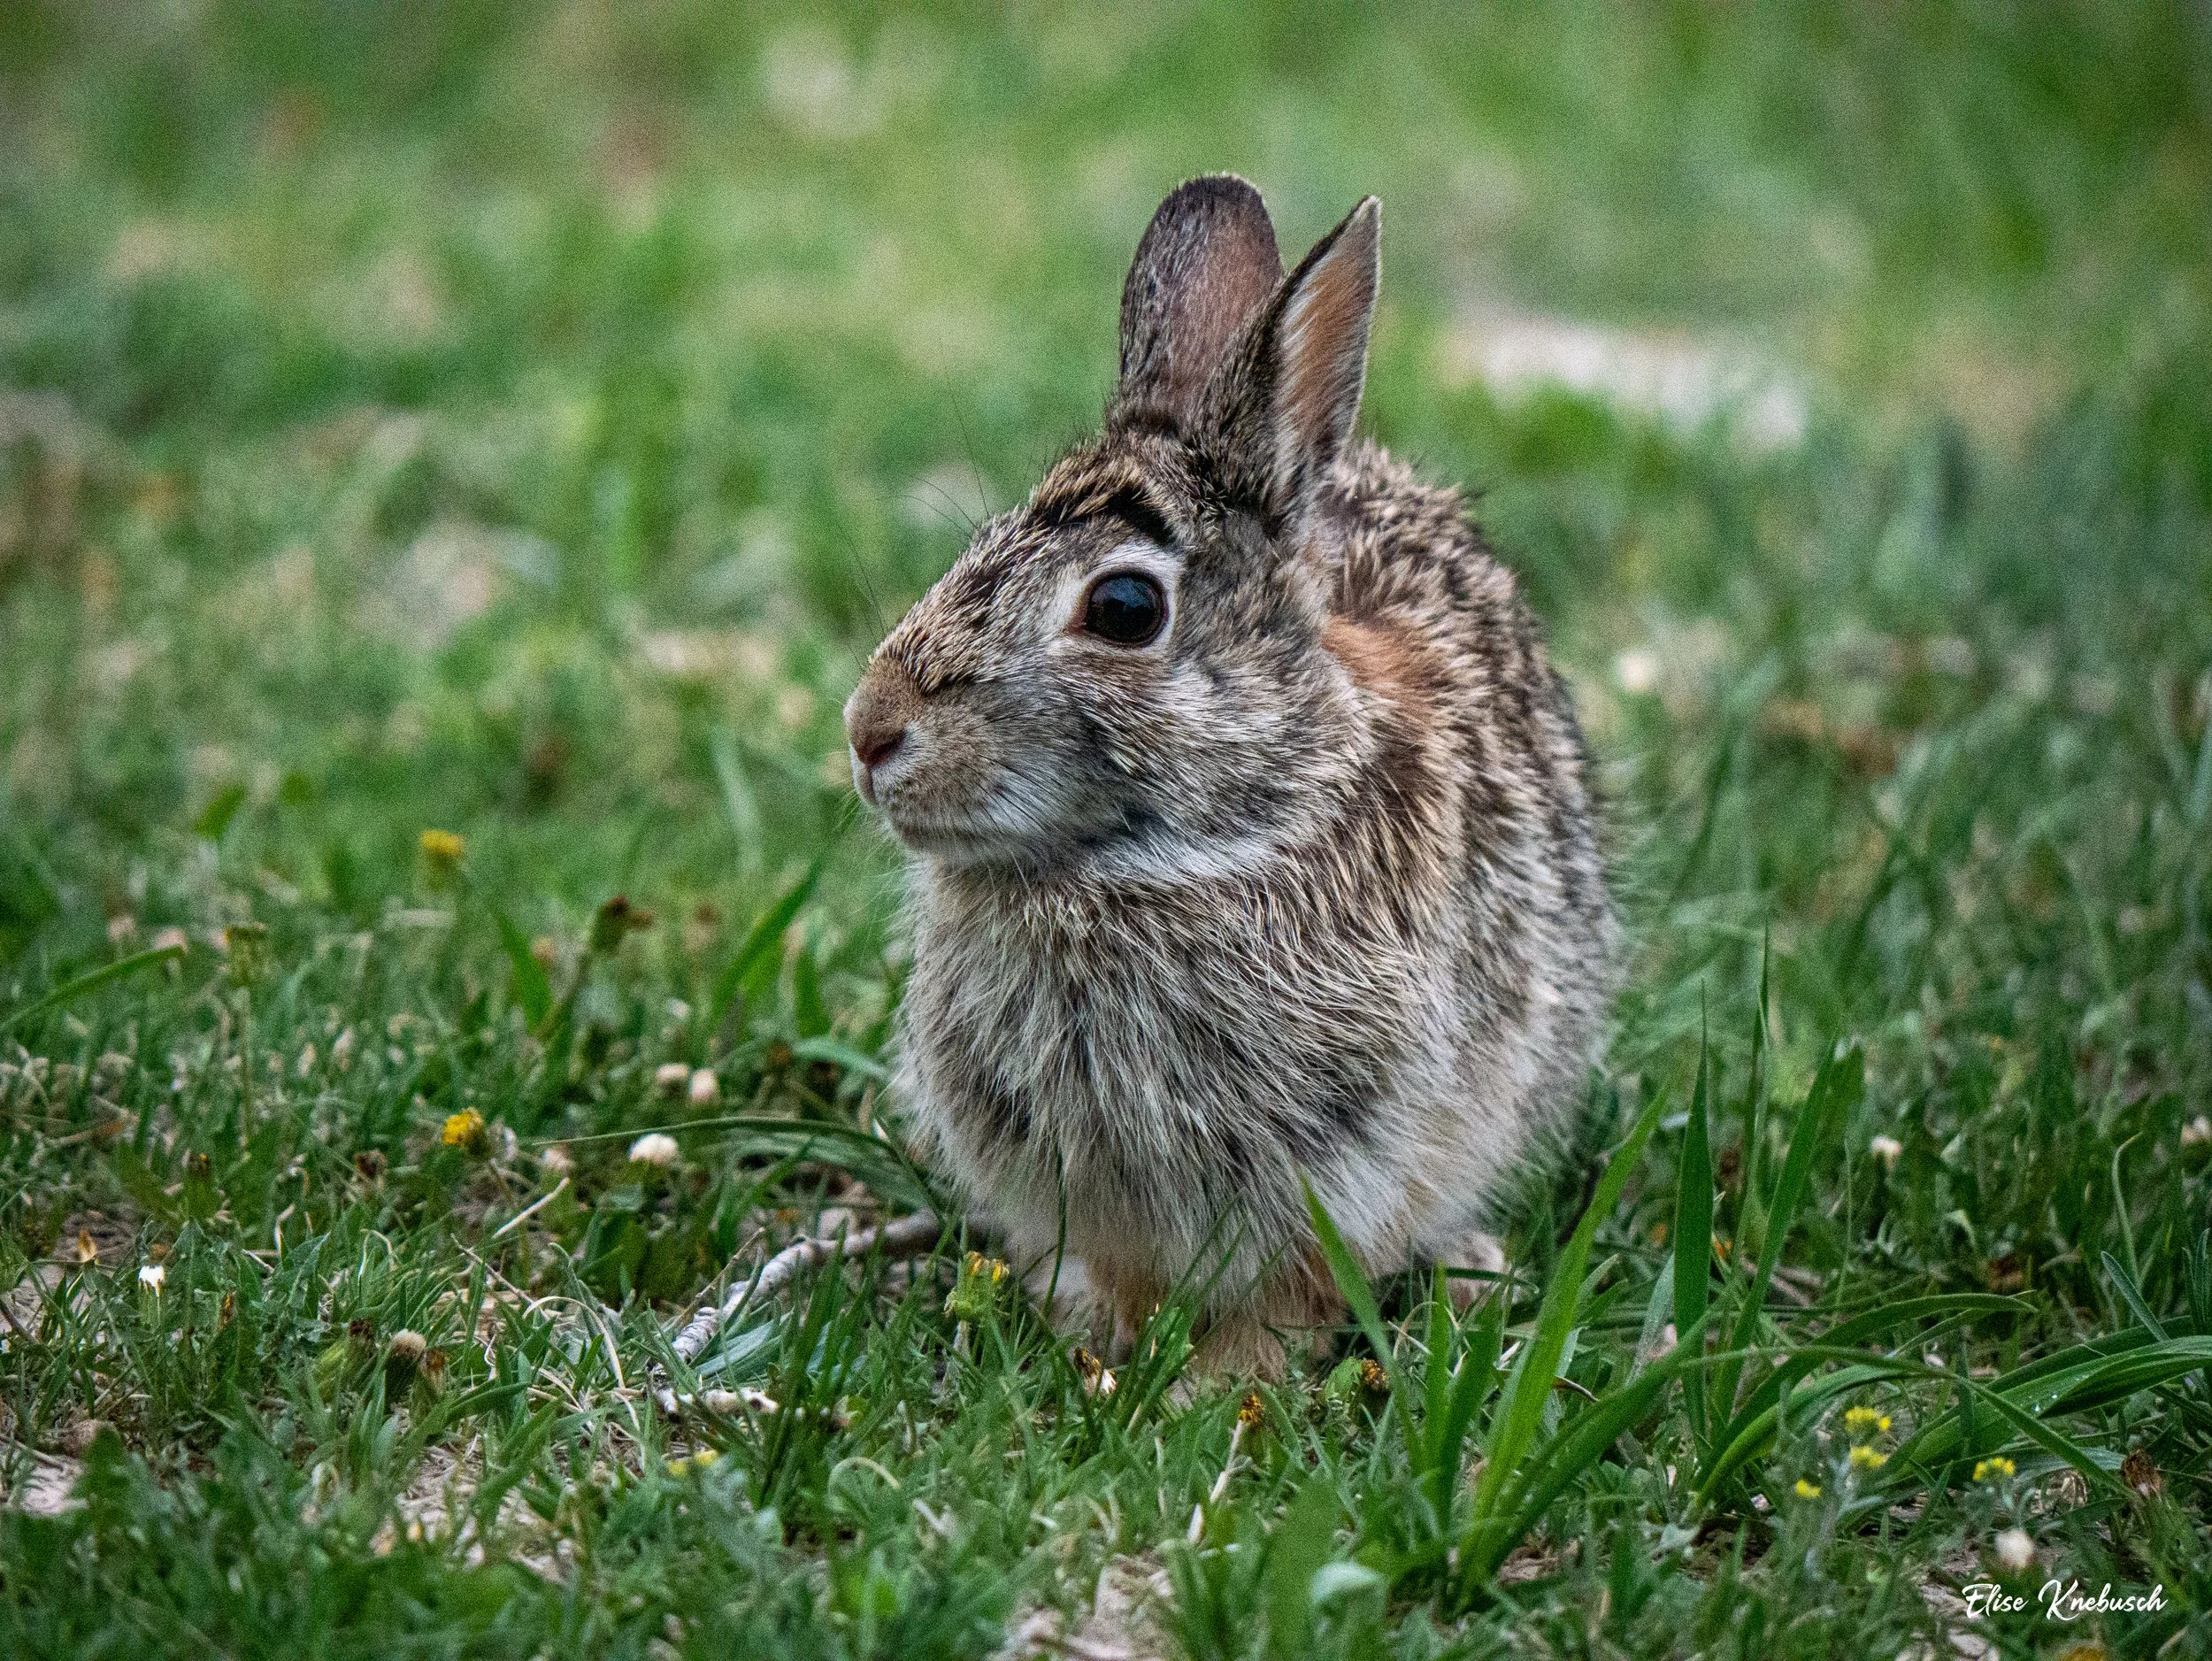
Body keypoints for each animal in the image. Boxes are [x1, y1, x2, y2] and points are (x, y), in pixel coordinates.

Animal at [844, 175, 1617, 1379]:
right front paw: (1104, 1345)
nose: (870, 731)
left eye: (1123, 609)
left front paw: (1212, 1387)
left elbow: (1291, 1293)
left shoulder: (1353, 1164)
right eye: (973, 549)